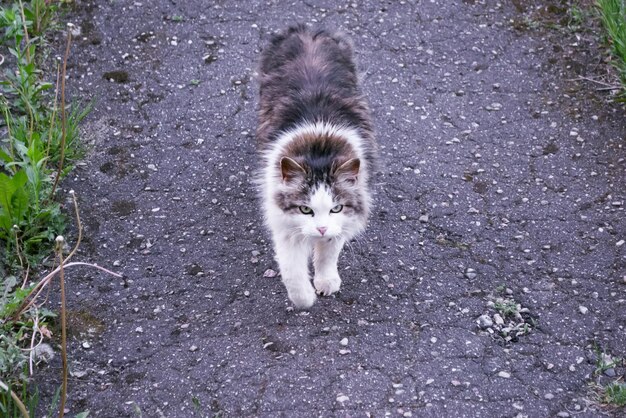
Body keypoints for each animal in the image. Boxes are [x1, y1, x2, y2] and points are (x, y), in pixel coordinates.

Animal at [255, 24, 372, 308]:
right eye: (305, 209)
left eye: (336, 208)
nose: (320, 228)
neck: (320, 146)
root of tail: (306, 30)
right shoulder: (283, 223)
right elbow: (292, 270)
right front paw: (305, 299)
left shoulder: (345, 219)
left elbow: (328, 253)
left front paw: (326, 282)